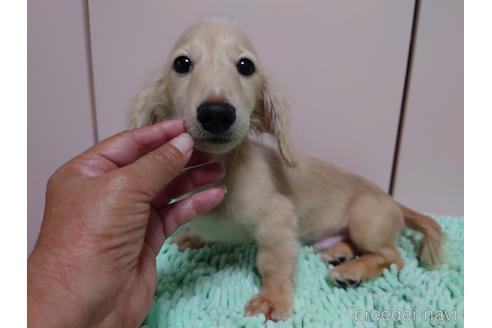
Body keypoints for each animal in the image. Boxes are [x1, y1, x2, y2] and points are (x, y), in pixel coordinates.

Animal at [130, 19, 442, 320]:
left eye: (245, 65)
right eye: (182, 63)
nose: (217, 113)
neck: (224, 169)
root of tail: (393, 201)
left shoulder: (278, 222)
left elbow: (272, 263)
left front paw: (272, 299)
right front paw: (195, 237)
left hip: (366, 221)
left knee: (394, 257)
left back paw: (352, 271)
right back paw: (338, 254)